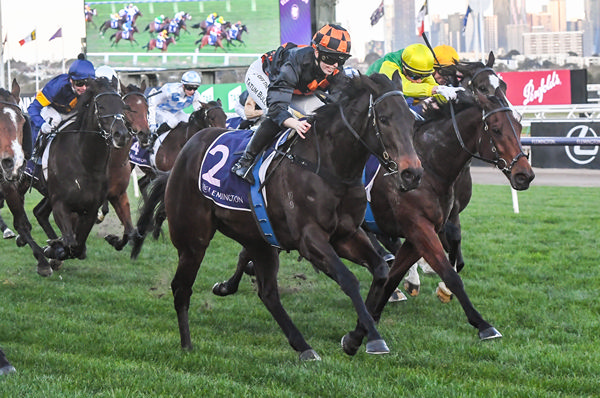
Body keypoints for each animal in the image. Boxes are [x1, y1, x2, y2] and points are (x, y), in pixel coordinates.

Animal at [27, 77, 129, 272]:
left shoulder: (90, 209)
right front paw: (55, 250)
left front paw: (55, 248)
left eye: (123, 106)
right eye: (101, 106)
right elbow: (71, 243)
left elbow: (78, 247)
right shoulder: (60, 204)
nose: (121, 135)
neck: (85, 161)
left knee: (39, 212)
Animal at [132, 72, 422, 360]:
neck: (329, 167)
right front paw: (373, 339)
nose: (412, 174)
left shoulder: (346, 234)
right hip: (193, 240)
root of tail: (184, 155)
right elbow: (348, 279)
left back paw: (303, 346)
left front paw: (354, 338)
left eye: (412, 121)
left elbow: (382, 271)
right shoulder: (309, 239)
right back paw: (187, 345)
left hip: (259, 239)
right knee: (181, 287)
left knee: (268, 293)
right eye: (383, 119)